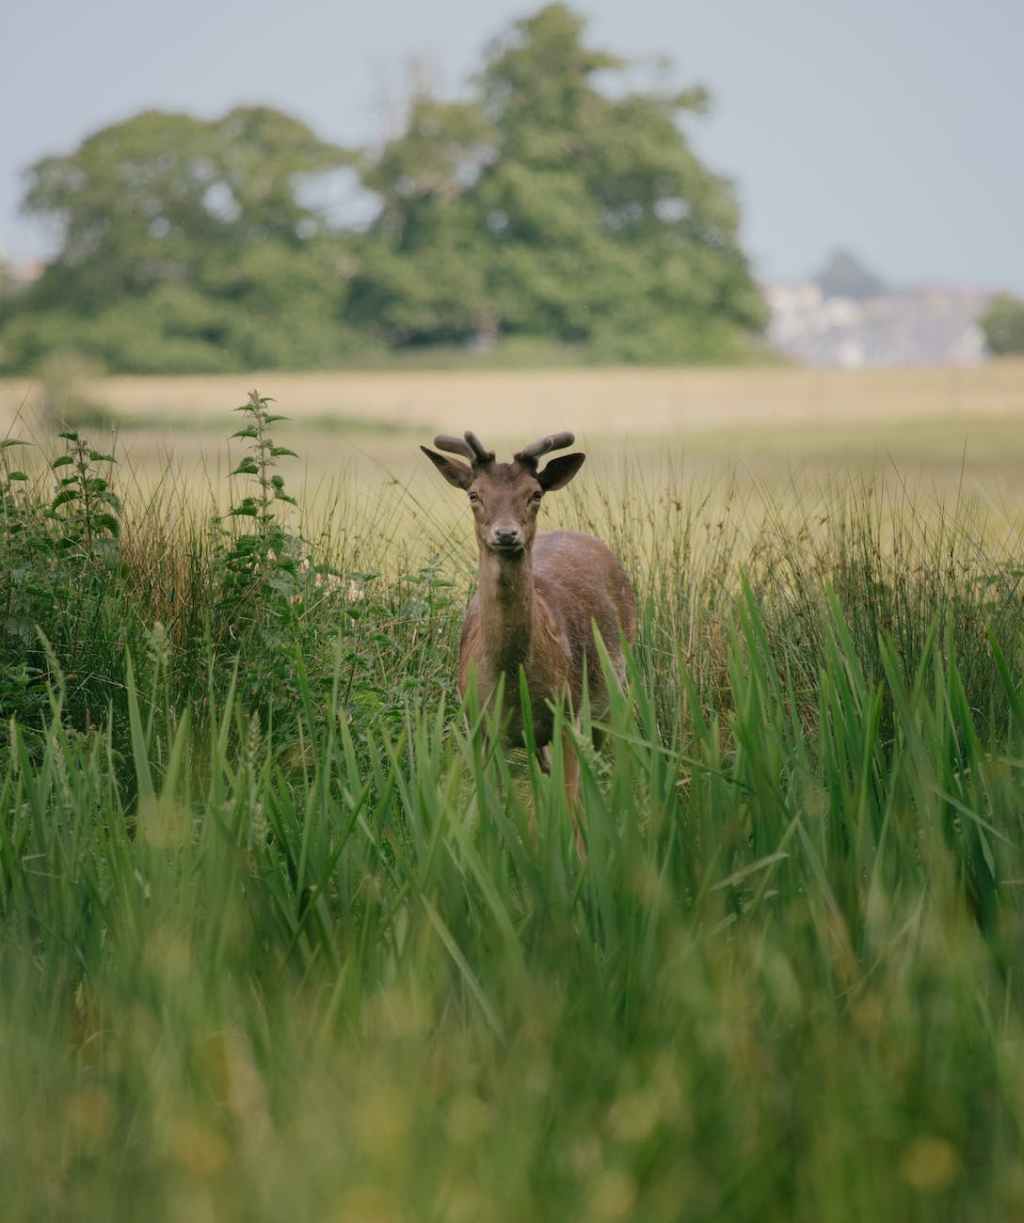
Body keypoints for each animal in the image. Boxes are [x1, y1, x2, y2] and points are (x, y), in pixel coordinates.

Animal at [421, 430, 637, 850]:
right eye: (474, 494)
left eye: (535, 493)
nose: (506, 534)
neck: (512, 678)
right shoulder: (479, 725)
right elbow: (490, 810)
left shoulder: (567, 714)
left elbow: (570, 810)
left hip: (611, 697)